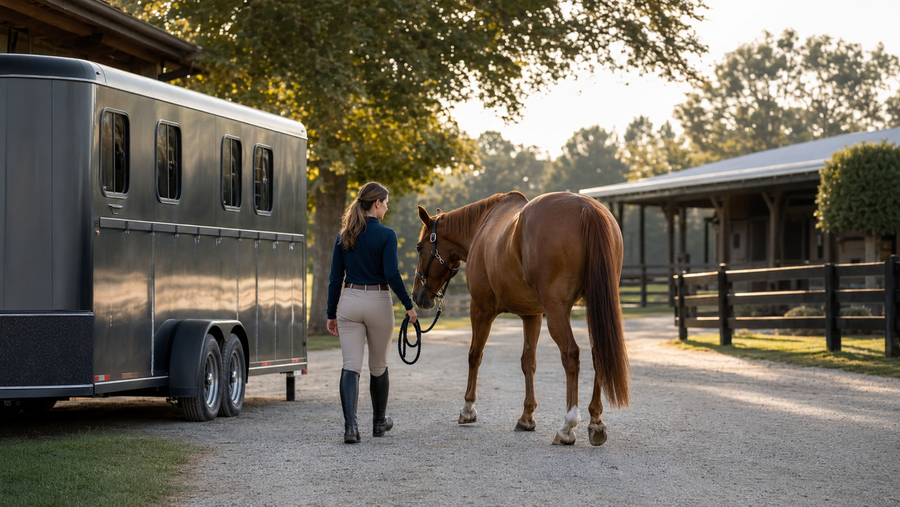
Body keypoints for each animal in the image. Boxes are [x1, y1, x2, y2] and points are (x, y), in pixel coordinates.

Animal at [411, 191, 629, 446]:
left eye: (419, 248)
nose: (417, 295)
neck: (481, 228)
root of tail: (587, 208)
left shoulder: (480, 309)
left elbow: (474, 356)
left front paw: (468, 409)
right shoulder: (531, 315)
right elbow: (528, 362)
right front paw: (526, 417)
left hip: (556, 311)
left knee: (571, 354)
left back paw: (568, 426)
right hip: (593, 308)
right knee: (598, 355)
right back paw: (595, 421)